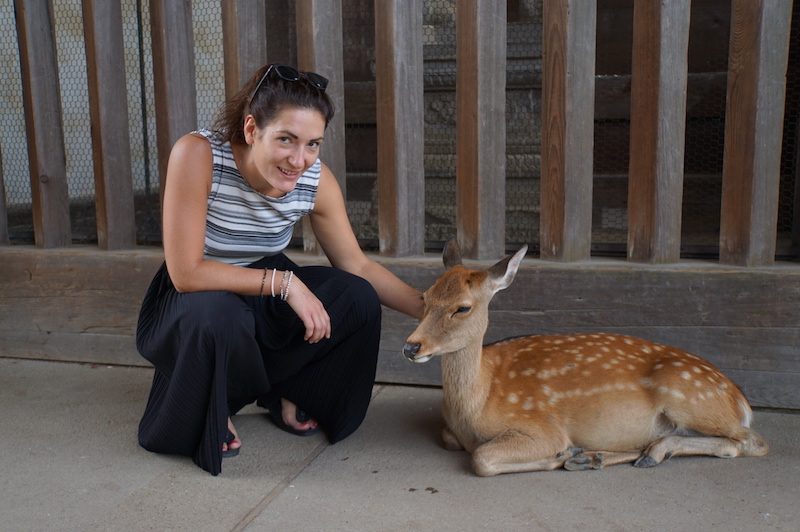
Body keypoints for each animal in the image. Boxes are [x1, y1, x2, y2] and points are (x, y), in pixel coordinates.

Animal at [402, 241, 768, 477]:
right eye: (425, 296)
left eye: (462, 307)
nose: (412, 346)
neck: (479, 400)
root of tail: (740, 400)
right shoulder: (453, 432)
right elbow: (451, 439)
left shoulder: (541, 427)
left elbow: (481, 458)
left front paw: (564, 453)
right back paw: (616, 456)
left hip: (691, 397)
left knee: (751, 442)